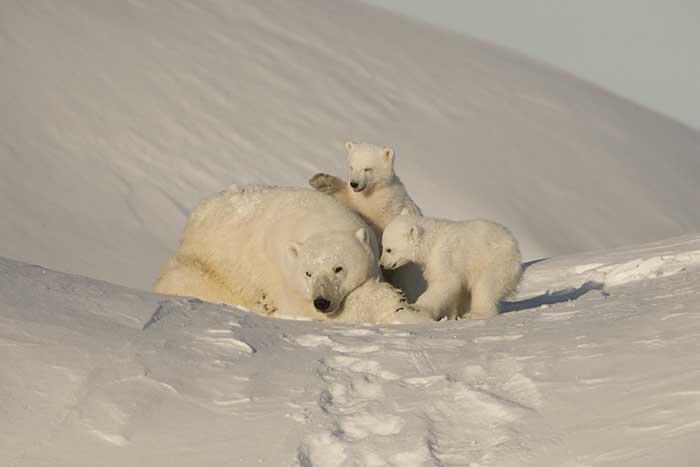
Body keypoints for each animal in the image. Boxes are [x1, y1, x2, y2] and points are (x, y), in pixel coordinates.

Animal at [153, 185, 418, 324]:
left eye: (338, 268)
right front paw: (391, 300)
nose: (322, 301)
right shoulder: (284, 274)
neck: (319, 221)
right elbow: (307, 309)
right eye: (308, 273)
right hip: (204, 263)